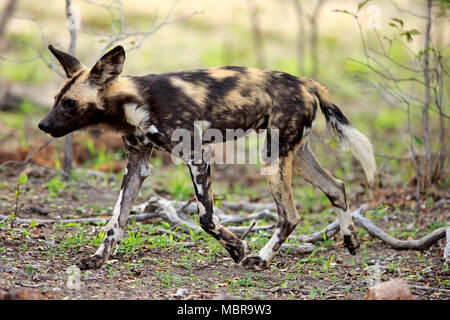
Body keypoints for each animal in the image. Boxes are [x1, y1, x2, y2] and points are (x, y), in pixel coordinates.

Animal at [39, 45, 376, 270]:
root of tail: (307, 82)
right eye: (55, 99)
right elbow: (116, 219)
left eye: (69, 103)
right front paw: (98, 259)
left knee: (290, 216)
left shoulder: (197, 155)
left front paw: (238, 249)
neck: (136, 102)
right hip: (294, 155)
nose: (43, 125)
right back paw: (351, 242)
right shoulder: (136, 164)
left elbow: (206, 218)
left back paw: (259, 259)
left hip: (272, 160)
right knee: (337, 187)